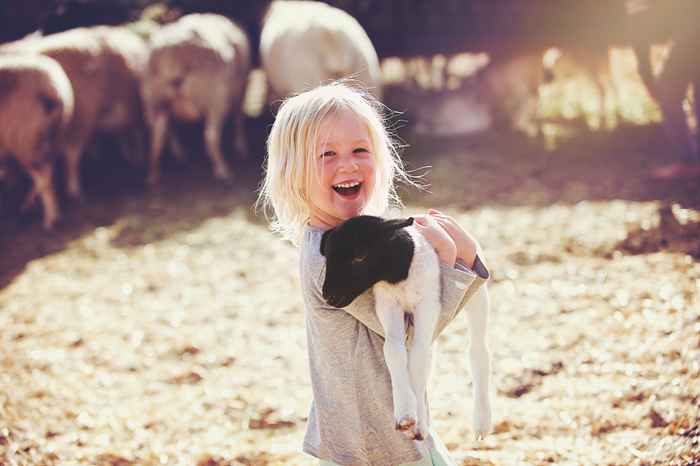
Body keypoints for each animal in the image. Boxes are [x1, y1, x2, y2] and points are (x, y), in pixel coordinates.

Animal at [0, 54, 73, 229]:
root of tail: (54, 88)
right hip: (52, 136)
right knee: (49, 173)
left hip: (24, 139)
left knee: (44, 177)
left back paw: (47, 218)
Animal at [320, 215, 490, 440]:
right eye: (326, 257)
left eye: (360, 256)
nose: (328, 295)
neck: (400, 275)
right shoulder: (387, 303)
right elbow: (394, 350)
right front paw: (406, 413)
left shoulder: (428, 303)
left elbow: (418, 356)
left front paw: (415, 422)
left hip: (478, 296)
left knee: (478, 350)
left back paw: (482, 422)